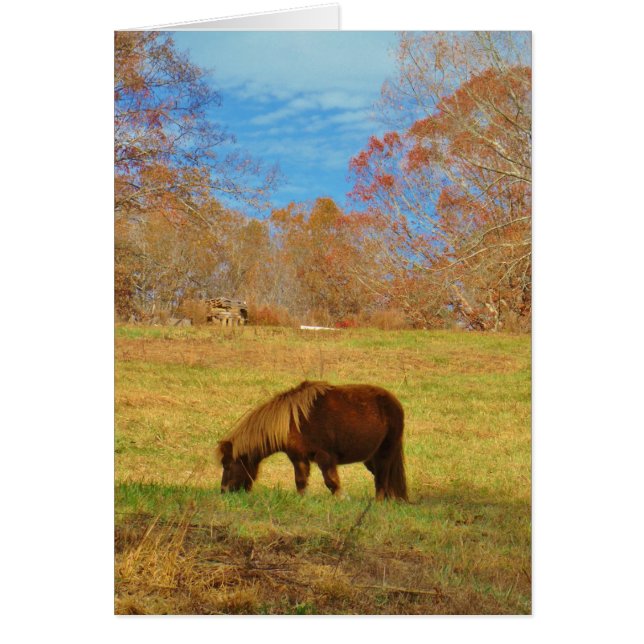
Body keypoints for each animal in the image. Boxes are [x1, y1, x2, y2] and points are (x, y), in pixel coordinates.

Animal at [216, 381, 408, 501]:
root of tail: (395, 403)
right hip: (370, 458)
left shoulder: (325, 457)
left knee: (381, 481)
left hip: (385, 453)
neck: (292, 422)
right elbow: (300, 482)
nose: (224, 491)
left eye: (228, 465)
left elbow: (331, 482)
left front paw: (342, 499)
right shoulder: (298, 458)